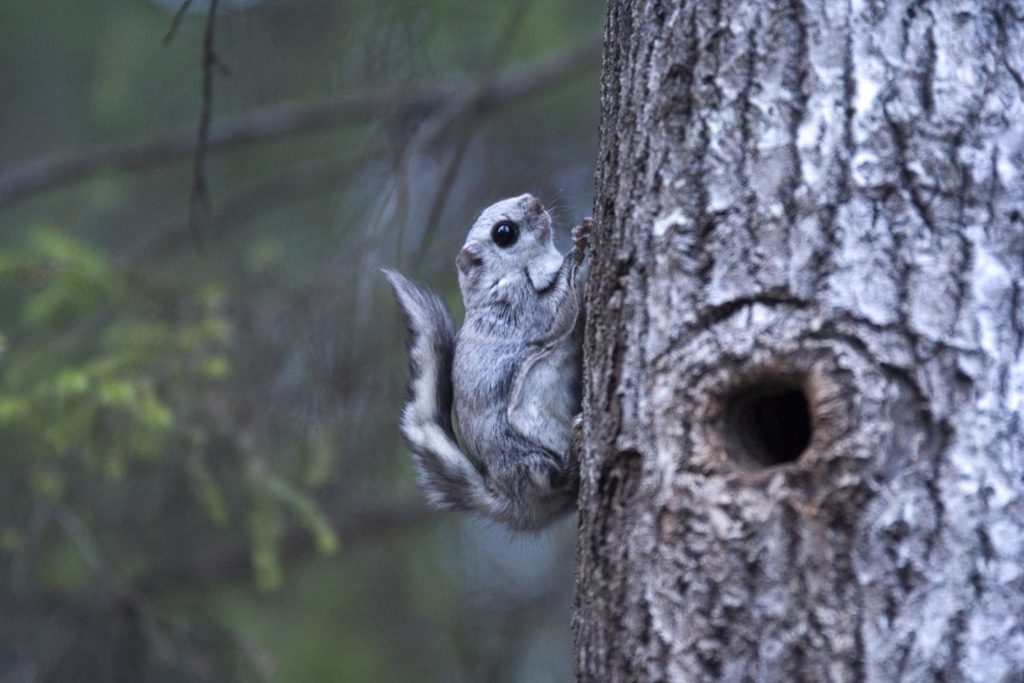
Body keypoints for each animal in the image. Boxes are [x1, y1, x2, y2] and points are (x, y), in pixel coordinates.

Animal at [384, 194, 590, 530]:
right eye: (503, 233)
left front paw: (582, 231)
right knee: (554, 478)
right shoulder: (522, 308)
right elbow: (558, 309)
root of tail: (517, 504)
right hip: (527, 457)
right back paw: (574, 452)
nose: (534, 202)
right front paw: (577, 254)